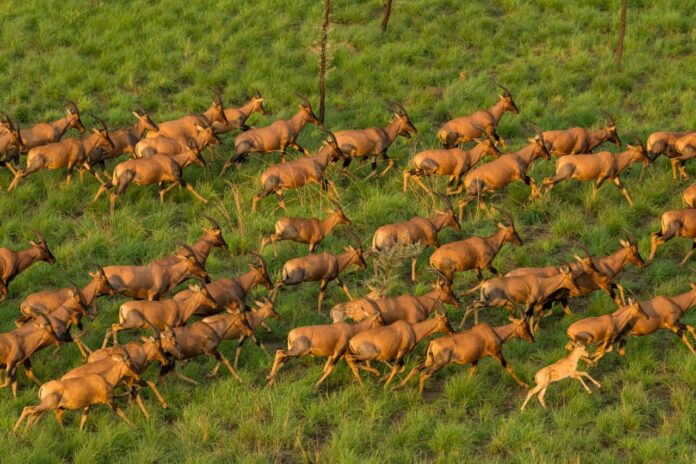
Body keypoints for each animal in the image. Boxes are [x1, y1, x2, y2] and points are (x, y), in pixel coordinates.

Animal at [397, 317, 534, 395]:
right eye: (525, 326)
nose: (533, 339)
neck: (493, 332)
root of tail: (432, 342)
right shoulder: (497, 354)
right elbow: (509, 368)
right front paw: (525, 385)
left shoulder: (475, 360)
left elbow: (471, 374)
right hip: (439, 364)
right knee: (424, 374)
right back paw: (420, 395)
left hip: (429, 361)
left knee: (416, 368)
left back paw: (398, 386)